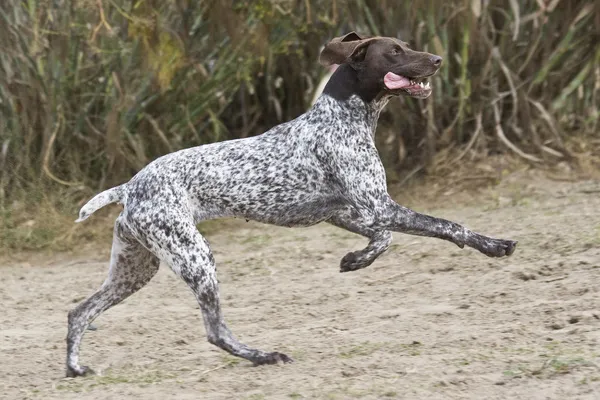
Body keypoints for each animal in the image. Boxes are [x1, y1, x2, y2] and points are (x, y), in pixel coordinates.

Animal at [67, 32, 516, 378]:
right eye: (394, 51)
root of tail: (130, 187)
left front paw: (356, 260)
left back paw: (74, 368)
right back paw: (264, 356)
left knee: (79, 312)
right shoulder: (379, 206)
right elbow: (448, 226)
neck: (343, 116)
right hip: (195, 257)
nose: (438, 60)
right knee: (215, 331)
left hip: (136, 269)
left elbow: (384, 239)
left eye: (405, 46)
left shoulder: (346, 212)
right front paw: (491, 245)